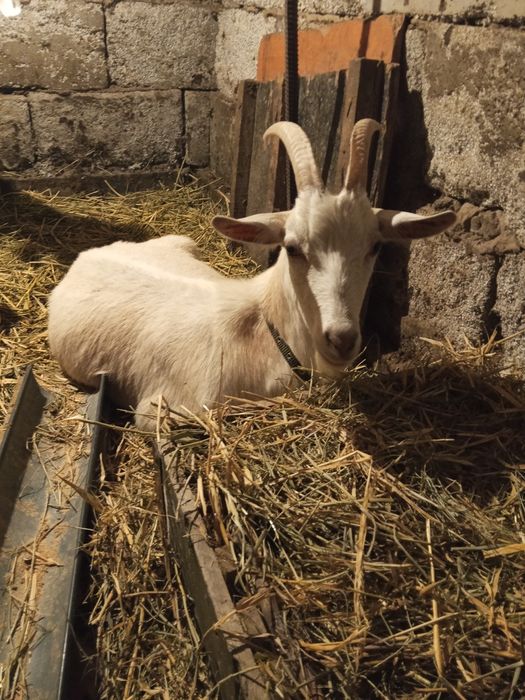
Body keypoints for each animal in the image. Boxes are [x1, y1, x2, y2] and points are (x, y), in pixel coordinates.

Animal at [47, 119, 456, 428]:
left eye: (375, 247)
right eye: (292, 247)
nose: (341, 339)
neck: (263, 331)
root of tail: (91, 253)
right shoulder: (159, 409)